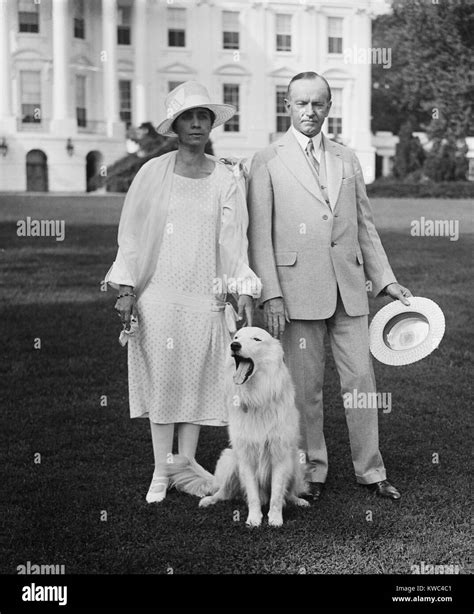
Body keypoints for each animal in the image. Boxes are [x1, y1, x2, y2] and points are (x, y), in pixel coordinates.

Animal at [168, 328, 310, 528]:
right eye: (236, 337)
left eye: (256, 339)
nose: (234, 345)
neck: (256, 397)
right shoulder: (246, 458)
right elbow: (253, 496)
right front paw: (254, 519)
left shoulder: (280, 456)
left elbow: (276, 495)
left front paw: (275, 519)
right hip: (230, 460)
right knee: (223, 492)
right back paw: (209, 500)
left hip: (296, 460)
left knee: (287, 493)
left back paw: (297, 501)